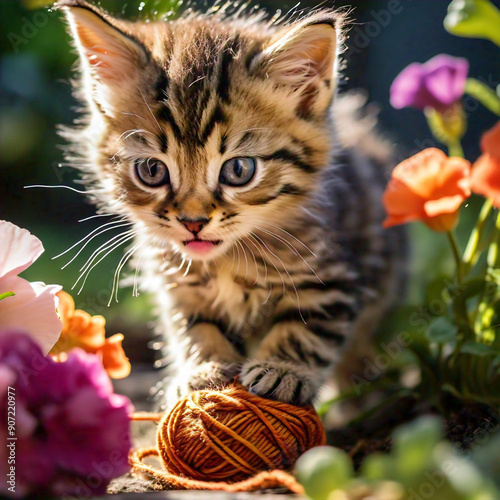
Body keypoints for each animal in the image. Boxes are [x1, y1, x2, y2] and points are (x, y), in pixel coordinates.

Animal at [56, 0, 406, 406]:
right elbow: (193, 328)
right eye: (151, 170)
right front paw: (203, 369)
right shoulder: (177, 287)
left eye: (238, 170)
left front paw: (282, 369)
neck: (226, 260)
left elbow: (306, 327)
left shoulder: (332, 275)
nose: (192, 221)